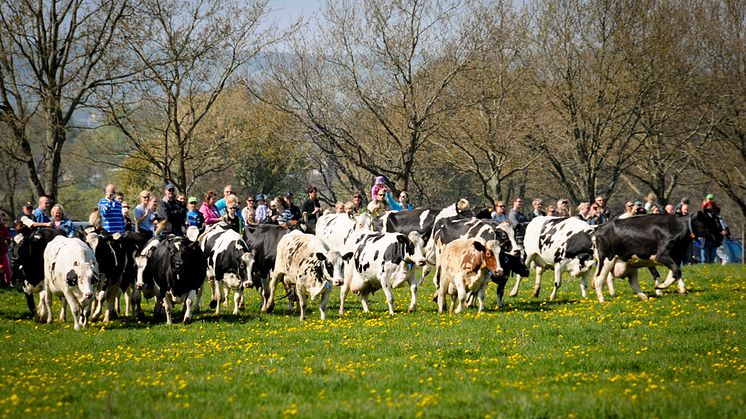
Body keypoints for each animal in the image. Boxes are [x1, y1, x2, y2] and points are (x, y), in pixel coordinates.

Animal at [588, 213, 724, 302]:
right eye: (711, 223)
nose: (722, 237)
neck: (678, 227)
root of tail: (600, 227)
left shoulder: (676, 256)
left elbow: (676, 272)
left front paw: (681, 290)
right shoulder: (662, 255)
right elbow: (676, 271)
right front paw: (662, 286)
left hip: (629, 263)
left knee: (632, 281)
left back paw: (644, 297)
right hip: (607, 259)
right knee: (599, 279)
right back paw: (602, 300)